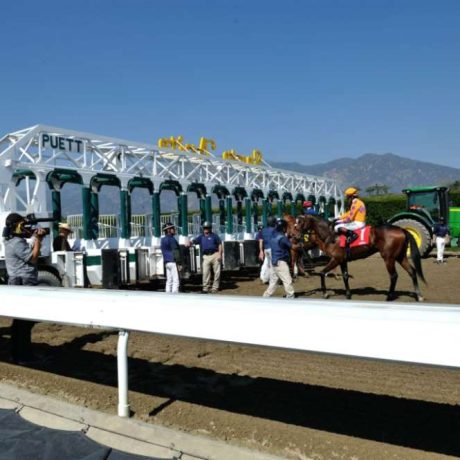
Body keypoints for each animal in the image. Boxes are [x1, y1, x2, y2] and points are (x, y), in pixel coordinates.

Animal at [296, 216, 426, 302]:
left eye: (301, 223)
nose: (296, 237)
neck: (331, 236)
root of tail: (402, 229)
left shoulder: (336, 259)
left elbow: (322, 273)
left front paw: (325, 294)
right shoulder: (342, 260)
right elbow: (345, 276)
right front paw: (348, 295)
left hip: (388, 258)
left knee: (394, 275)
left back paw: (389, 297)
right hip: (400, 256)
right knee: (412, 271)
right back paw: (419, 295)